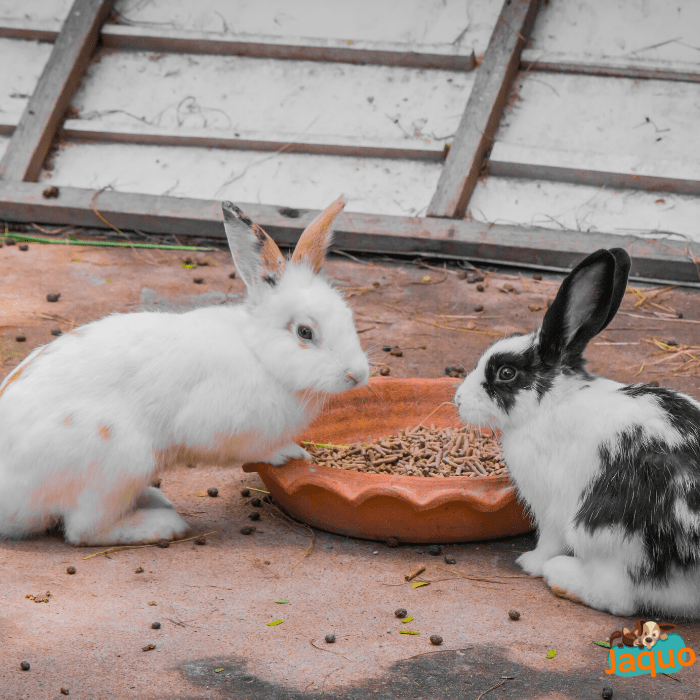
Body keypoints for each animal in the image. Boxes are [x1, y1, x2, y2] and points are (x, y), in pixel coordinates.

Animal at [0, 196, 372, 548]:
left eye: (348, 315)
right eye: (305, 332)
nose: (357, 375)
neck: (258, 355)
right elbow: (256, 450)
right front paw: (290, 454)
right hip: (119, 461)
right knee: (84, 531)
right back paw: (165, 524)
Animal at [454, 247, 700, 616]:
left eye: (506, 373)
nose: (458, 399)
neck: (551, 403)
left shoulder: (552, 506)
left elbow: (549, 539)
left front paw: (528, 562)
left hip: (608, 535)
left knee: (618, 598)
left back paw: (559, 574)